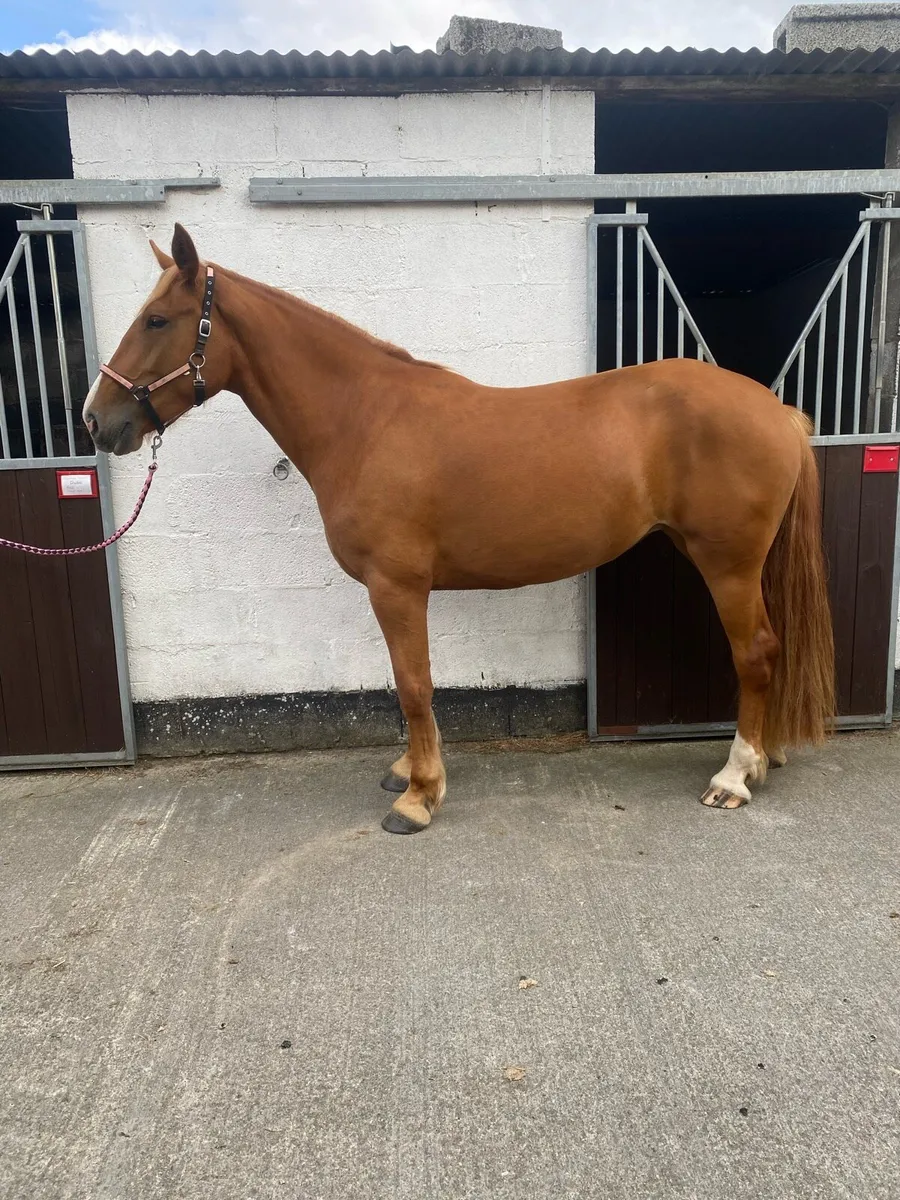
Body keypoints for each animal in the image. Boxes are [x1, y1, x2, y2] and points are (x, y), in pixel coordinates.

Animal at [83, 224, 835, 835]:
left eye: (156, 319)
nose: (97, 419)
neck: (364, 419)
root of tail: (777, 411)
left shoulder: (396, 587)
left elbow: (413, 685)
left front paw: (418, 798)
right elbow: (411, 684)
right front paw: (413, 773)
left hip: (727, 563)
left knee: (756, 654)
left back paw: (734, 776)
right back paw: (762, 760)